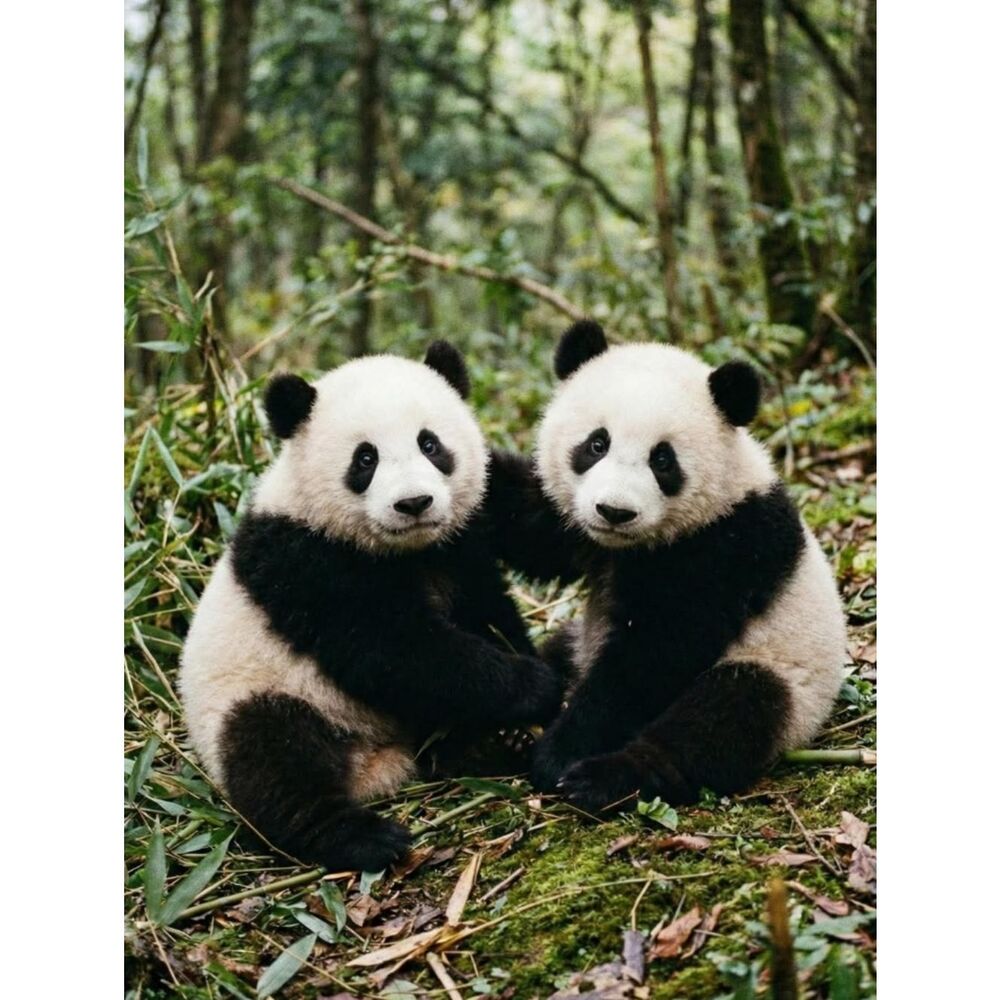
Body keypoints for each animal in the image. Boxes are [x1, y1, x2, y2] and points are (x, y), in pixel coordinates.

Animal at [179, 342, 563, 872]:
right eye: (365, 458)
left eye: (430, 444)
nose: (414, 503)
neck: (405, 551)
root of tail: (374, 762)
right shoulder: (307, 561)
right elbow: (395, 652)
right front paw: (535, 686)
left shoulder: (464, 536)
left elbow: (488, 605)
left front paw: (524, 713)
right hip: (259, 694)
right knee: (273, 753)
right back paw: (362, 837)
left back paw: (486, 745)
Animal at [487, 320, 847, 814]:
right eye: (596, 443)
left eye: (663, 459)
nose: (614, 511)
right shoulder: (576, 527)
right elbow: (530, 524)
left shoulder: (726, 544)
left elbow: (656, 652)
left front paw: (560, 753)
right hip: (578, 643)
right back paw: (514, 729)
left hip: (788, 676)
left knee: (725, 713)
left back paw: (607, 777)